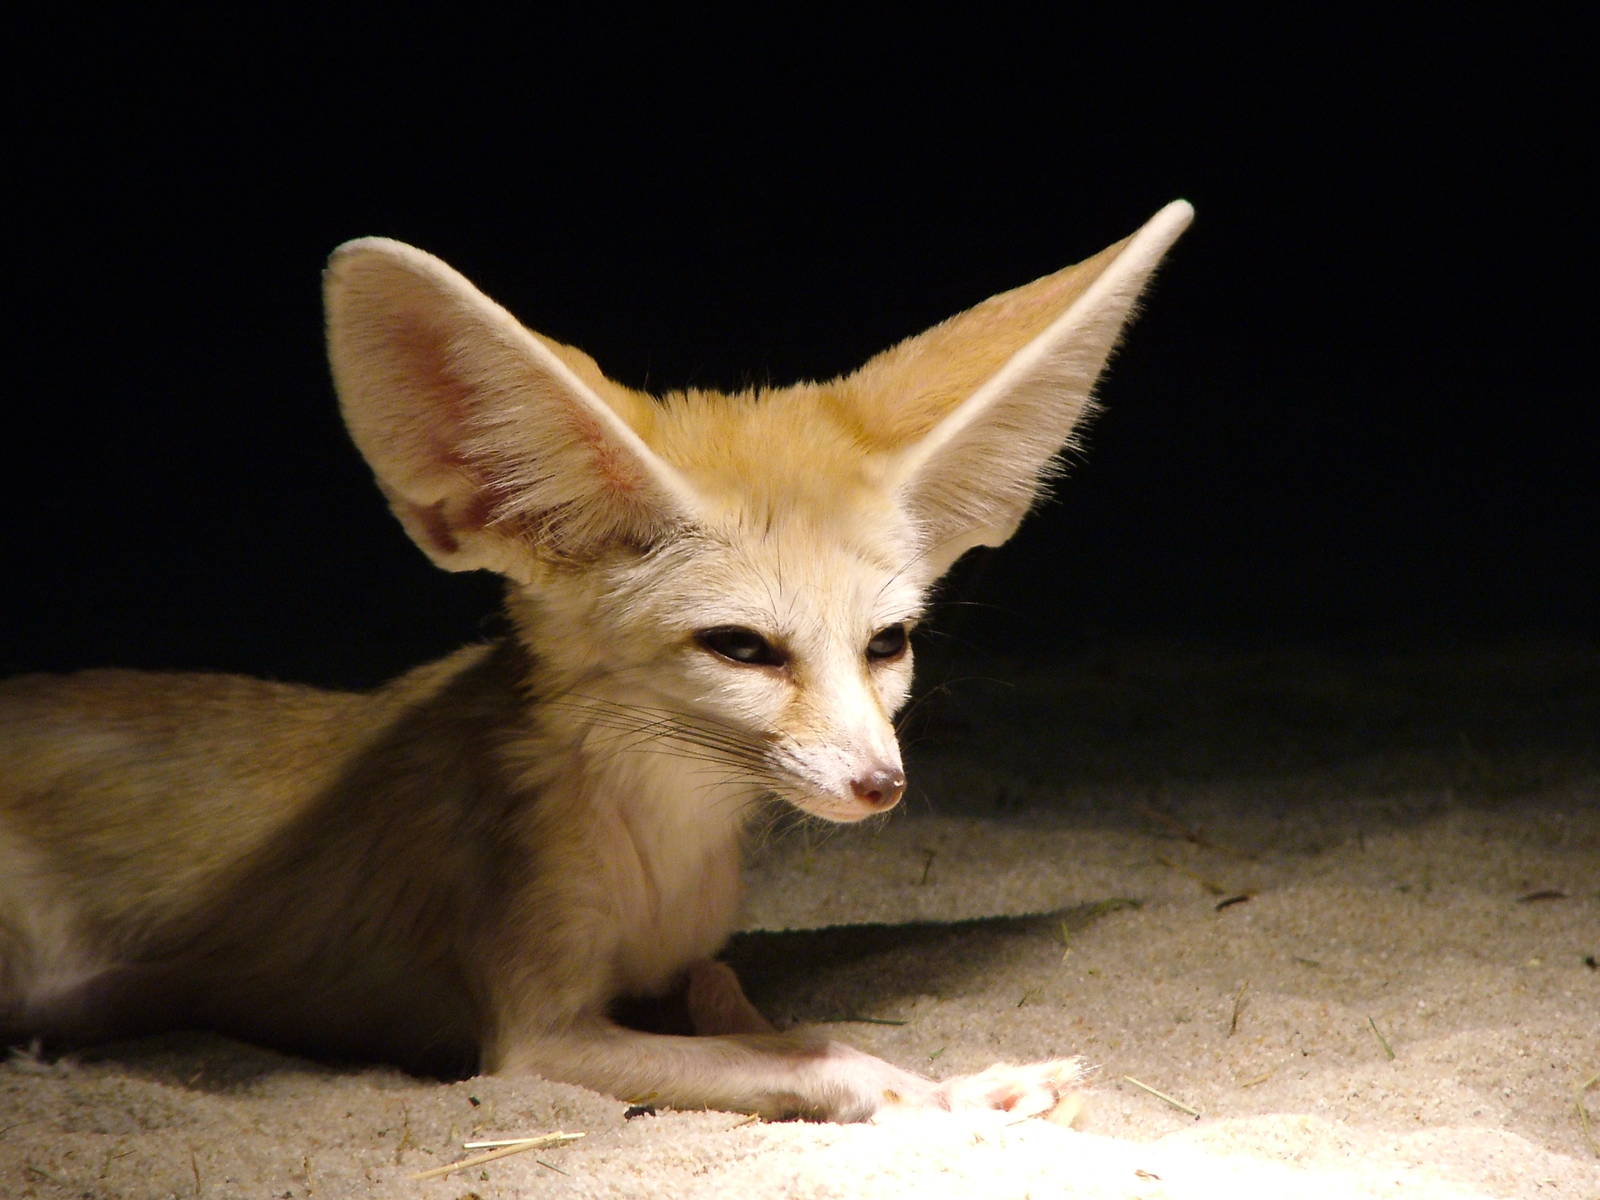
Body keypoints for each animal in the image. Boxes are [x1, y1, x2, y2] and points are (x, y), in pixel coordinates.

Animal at [0, 201, 1191, 1121]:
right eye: (741, 649)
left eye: (887, 644)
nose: (880, 785)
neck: (663, 844)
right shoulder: (535, 1033)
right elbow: (817, 1059)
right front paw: (928, 1091)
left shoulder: (682, 957)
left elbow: (742, 1003)